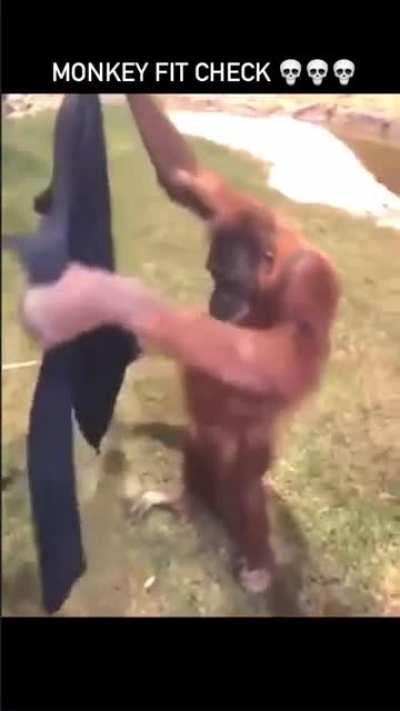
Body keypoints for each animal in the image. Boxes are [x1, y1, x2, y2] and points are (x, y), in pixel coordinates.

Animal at [22, 95, 340, 594]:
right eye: (213, 274)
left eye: (232, 281)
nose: (216, 300)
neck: (274, 268)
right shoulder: (230, 208)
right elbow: (185, 177)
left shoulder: (312, 281)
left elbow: (292, 357)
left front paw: (111, 302)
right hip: (203, 433)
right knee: (198, 438)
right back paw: (183, 502)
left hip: (253, 447)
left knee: (241, 479)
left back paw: (258, 563)